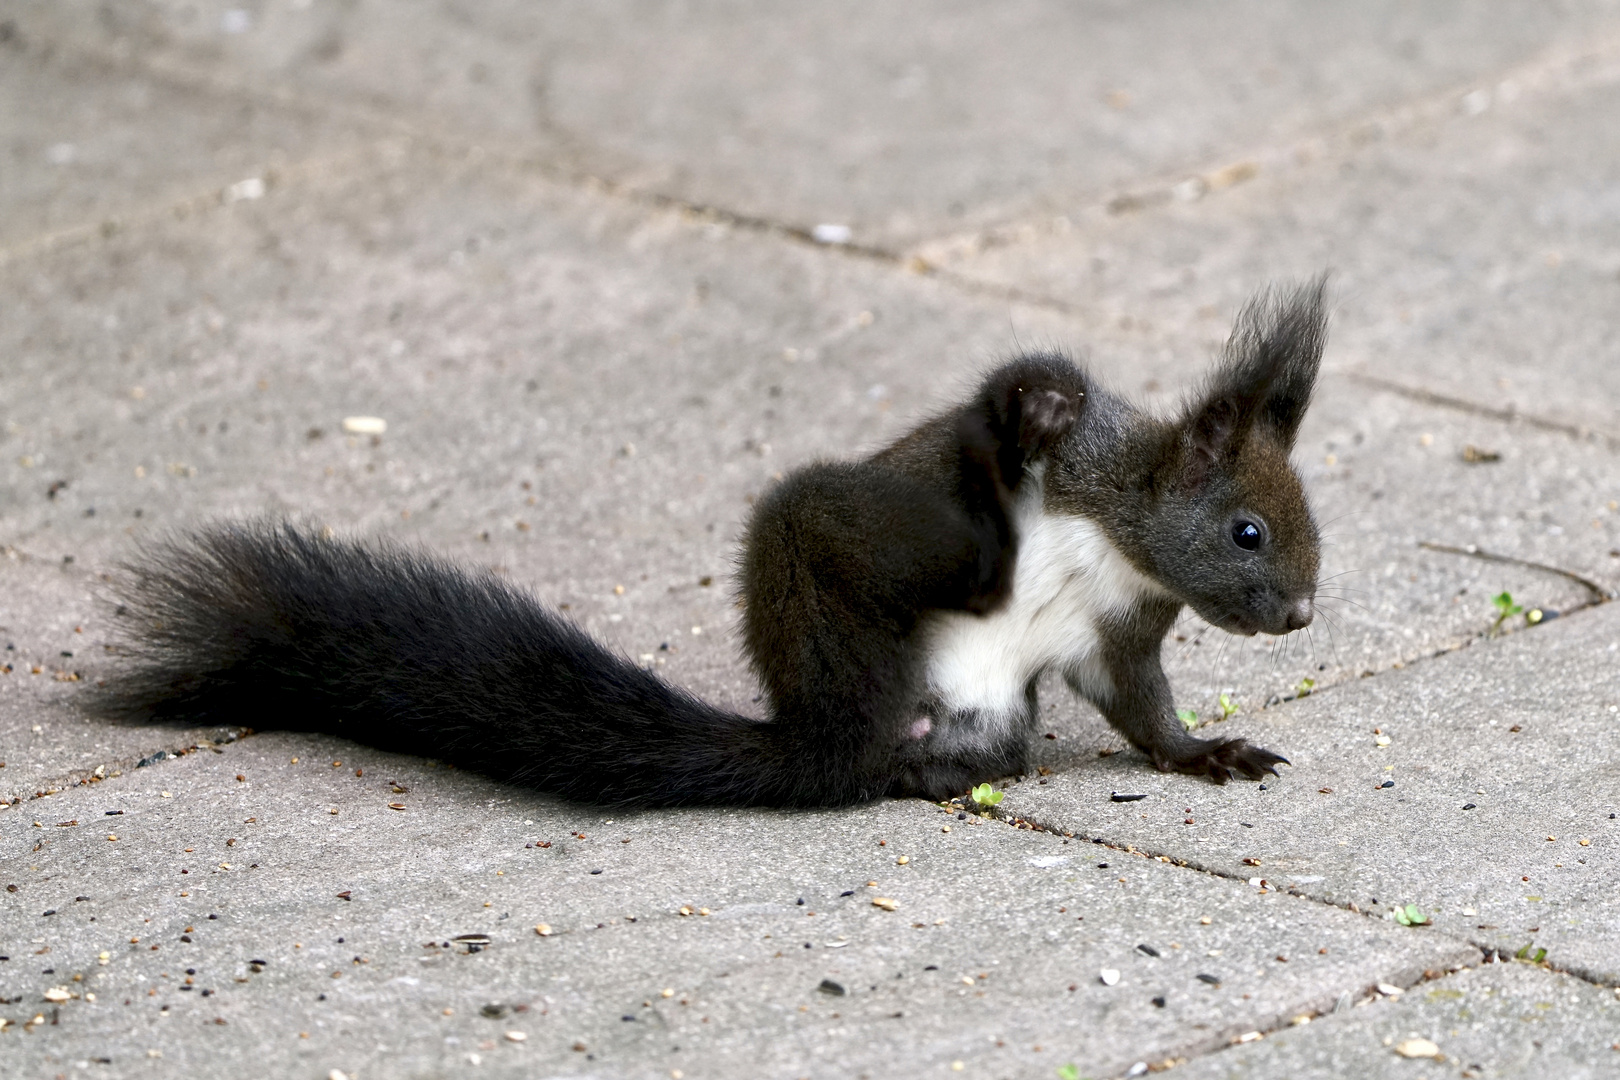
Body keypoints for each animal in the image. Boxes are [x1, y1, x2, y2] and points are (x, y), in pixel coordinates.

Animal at [91, 283, 1328, 806]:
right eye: (1248, 530)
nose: (1304, 613)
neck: (1115, 532)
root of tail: (821, 736)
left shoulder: (1119, 629)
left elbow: (1143, 711)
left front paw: (1206, 753)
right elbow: (1016, 413)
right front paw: (1029, 418)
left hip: (980, 715)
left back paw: (932, 770)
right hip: (822, 575)